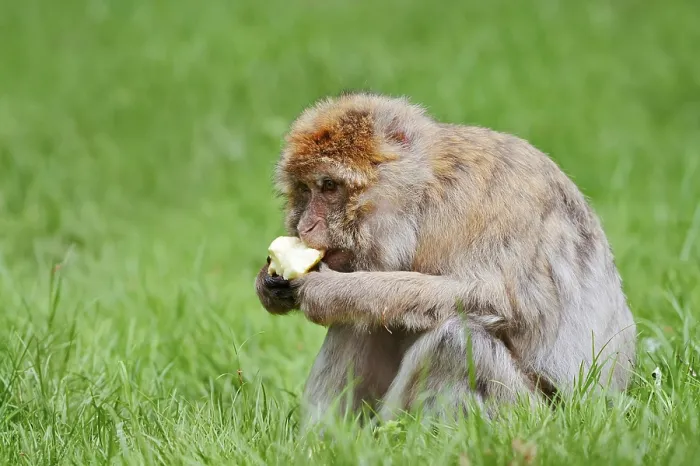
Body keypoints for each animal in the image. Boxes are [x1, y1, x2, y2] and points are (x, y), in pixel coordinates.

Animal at [254, 91, 637, 427]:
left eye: (329, 186)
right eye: (305, 190)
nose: (305, 225)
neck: (427, 197)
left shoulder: (487, 203)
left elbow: (498, 300)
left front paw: (327, 290)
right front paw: (268, 283)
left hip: (529, 414)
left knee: (455, 340)